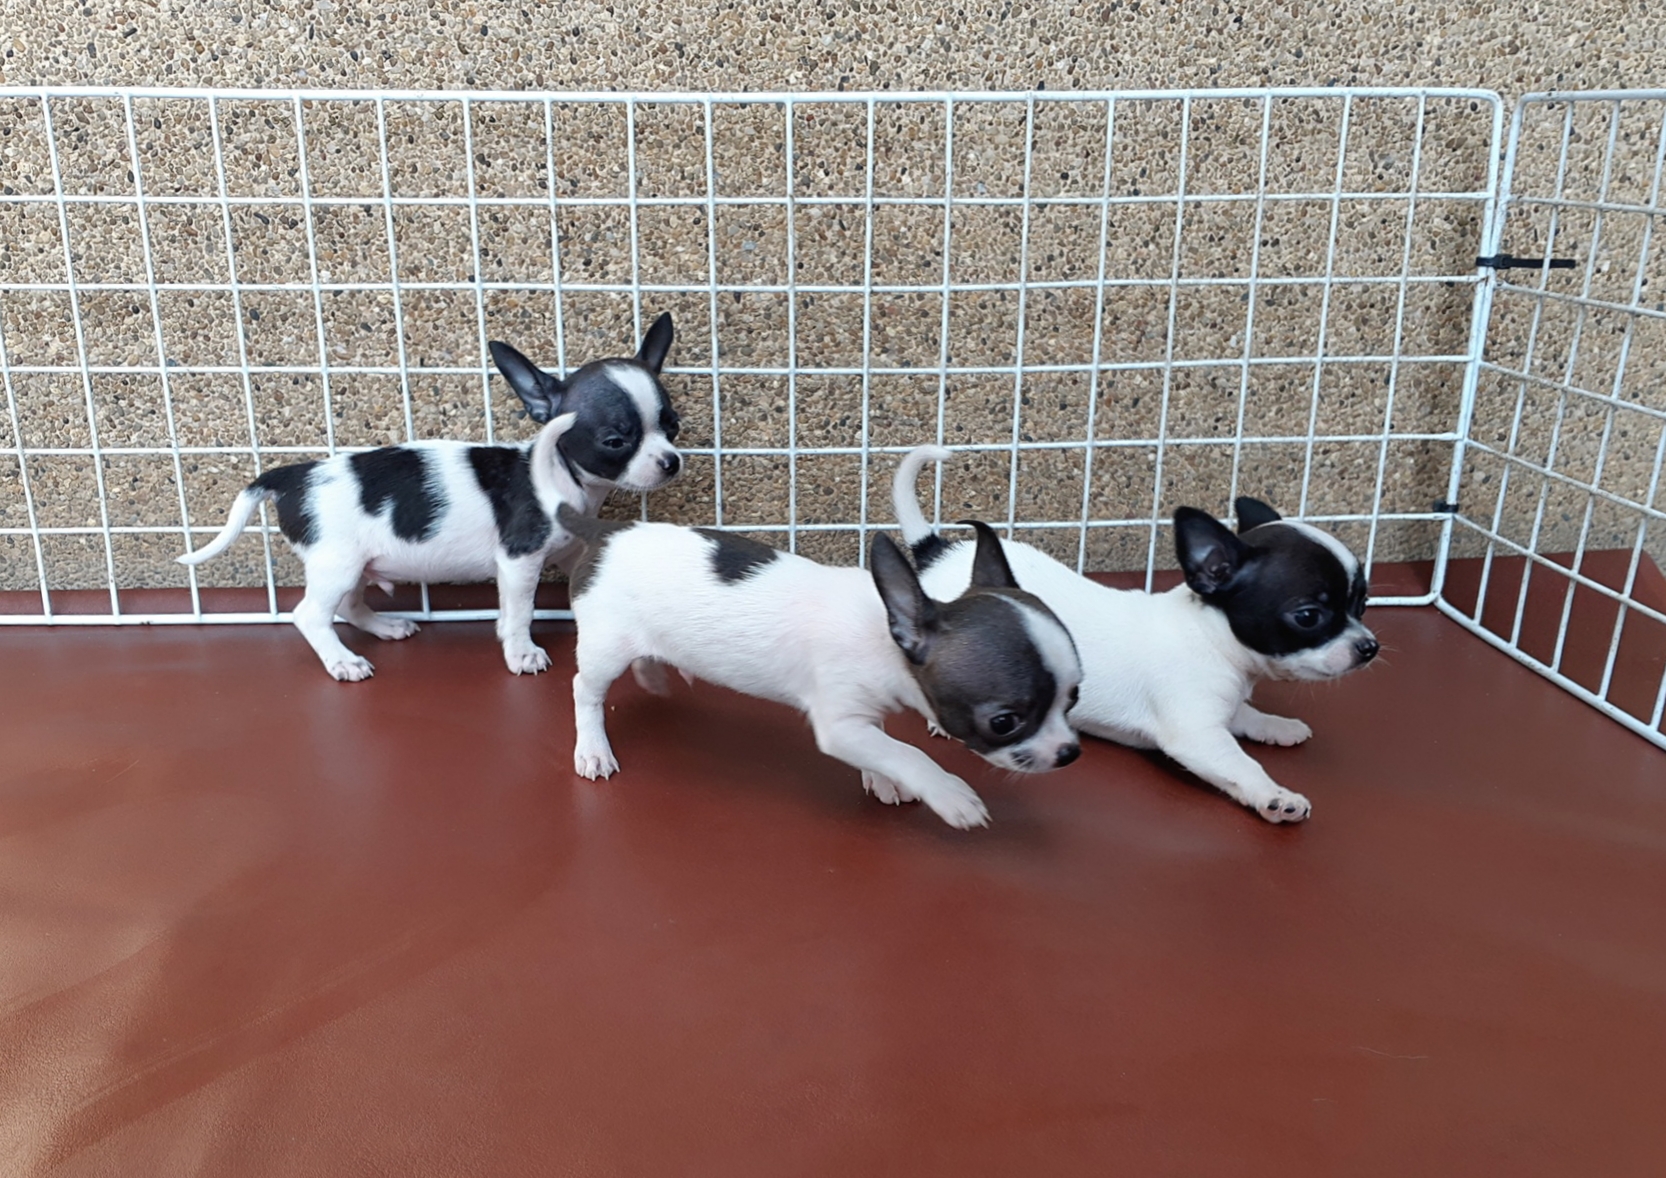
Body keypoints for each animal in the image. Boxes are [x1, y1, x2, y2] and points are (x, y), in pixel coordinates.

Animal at [177, 314, 682, 681]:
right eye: (616, 440)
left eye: (673, 426)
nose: (672, 461)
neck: (562, 477)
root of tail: (294, 475)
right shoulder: (519, 561)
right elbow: (521, 611)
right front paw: (522, 652)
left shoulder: (563, 555)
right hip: (335, 563)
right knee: (310, 616)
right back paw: (342, 661)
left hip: (354, 564)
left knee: (348, 605)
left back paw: (384, 627)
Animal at [553, 488, 1084, 830]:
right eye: (1005, 721)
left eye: (1073, 698)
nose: (1069, 753)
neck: (886, 635)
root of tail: (605, 532)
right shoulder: (840, 723)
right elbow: (906, 751)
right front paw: (949, 793)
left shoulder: (864, 713)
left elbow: (883, 742)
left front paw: (882, 778)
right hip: (605, 648)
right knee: (585, 691)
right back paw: (593, 748)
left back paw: (656, 672)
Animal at [893, 446, 1378, 823]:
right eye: (1309, 616)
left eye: (1362, 602)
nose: (1368, 647)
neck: (1210, 637)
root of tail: (938, 552)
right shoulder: (1198, 736)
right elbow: (1241, 767)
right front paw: (1275, 797)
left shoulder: (1220, 708)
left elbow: (1246, 715)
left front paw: (1275, 725)